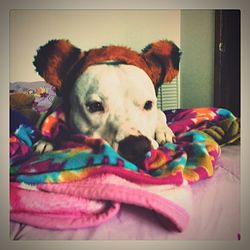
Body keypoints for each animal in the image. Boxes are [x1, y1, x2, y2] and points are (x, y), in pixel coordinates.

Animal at [33, 39, 181, 166]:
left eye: (148, 104)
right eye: (95, 106)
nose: (137, 146)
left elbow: (162, 115)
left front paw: (164, 131)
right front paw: (46, 141)